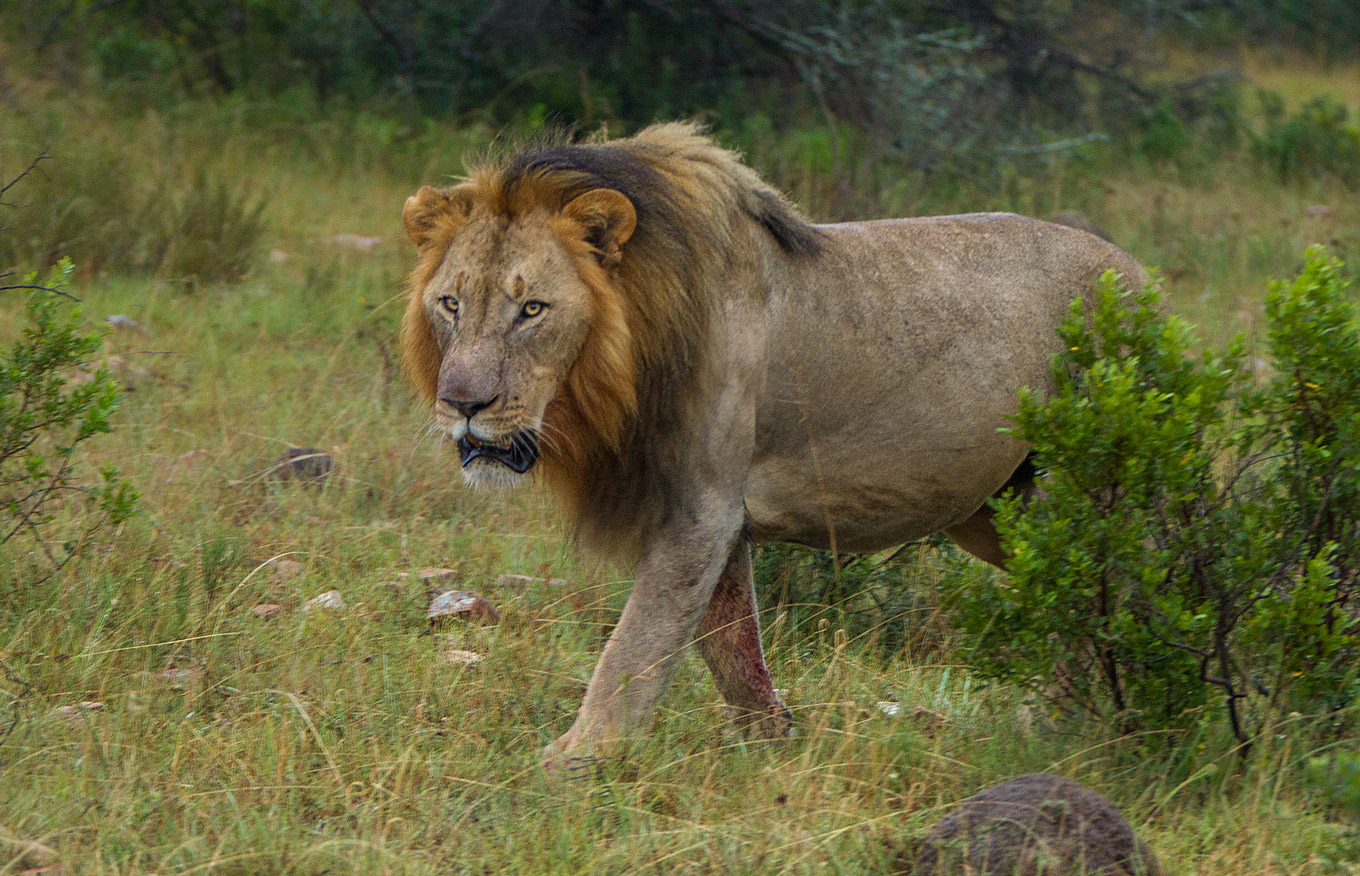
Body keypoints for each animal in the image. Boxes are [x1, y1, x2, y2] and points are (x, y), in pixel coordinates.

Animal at [397, 119, 1142, 761]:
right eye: (451, 304)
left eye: (531, 310)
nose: (463, 405)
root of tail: (1139, 273)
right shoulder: (708, 516)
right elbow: (727, 643)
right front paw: (770, 745)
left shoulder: (699, 511)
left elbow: (638, 643)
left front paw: (578, 758)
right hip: (997, 511)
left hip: (1087, 490)